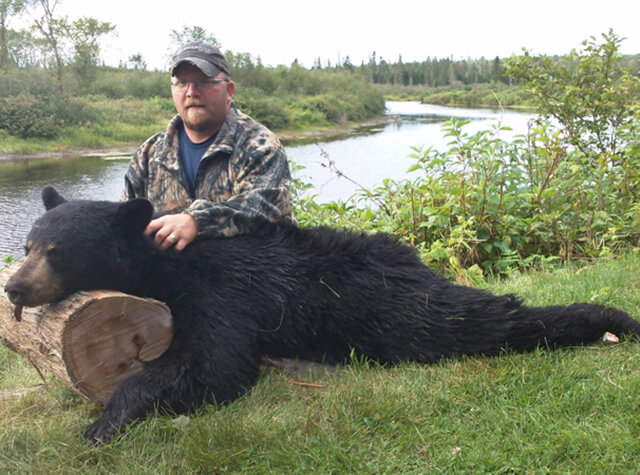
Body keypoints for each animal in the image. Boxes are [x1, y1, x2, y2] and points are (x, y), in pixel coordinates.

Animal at [5, 186, 640, 446]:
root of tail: (412, 262)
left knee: (471, 321)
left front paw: (105, 422)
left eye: (57, 250)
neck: (161, 267)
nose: (14, 286)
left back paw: (611, 319)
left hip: (385, 307)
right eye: (28, 245)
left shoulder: (221, 296)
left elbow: (213, 366)